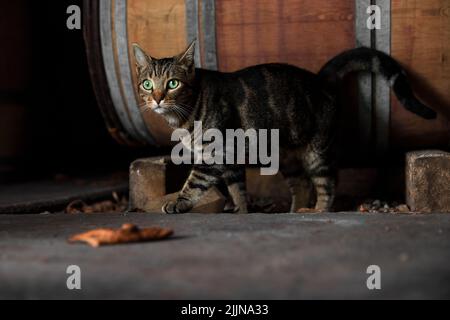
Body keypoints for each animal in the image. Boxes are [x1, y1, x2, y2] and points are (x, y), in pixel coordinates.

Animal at [133, 41, 436, 214]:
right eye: (147, 84)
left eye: (173, 83)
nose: (157, 98)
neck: (185, 114)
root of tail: (320, 79)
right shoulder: (231, 161)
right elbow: (237, 190)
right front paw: (241, 211)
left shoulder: (215, 153)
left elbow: (195, 182)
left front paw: (179, 202)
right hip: (285, 155)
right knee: (301, 184)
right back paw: (295, 210)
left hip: (317, 151)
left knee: (328, 183)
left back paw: (318, 212)